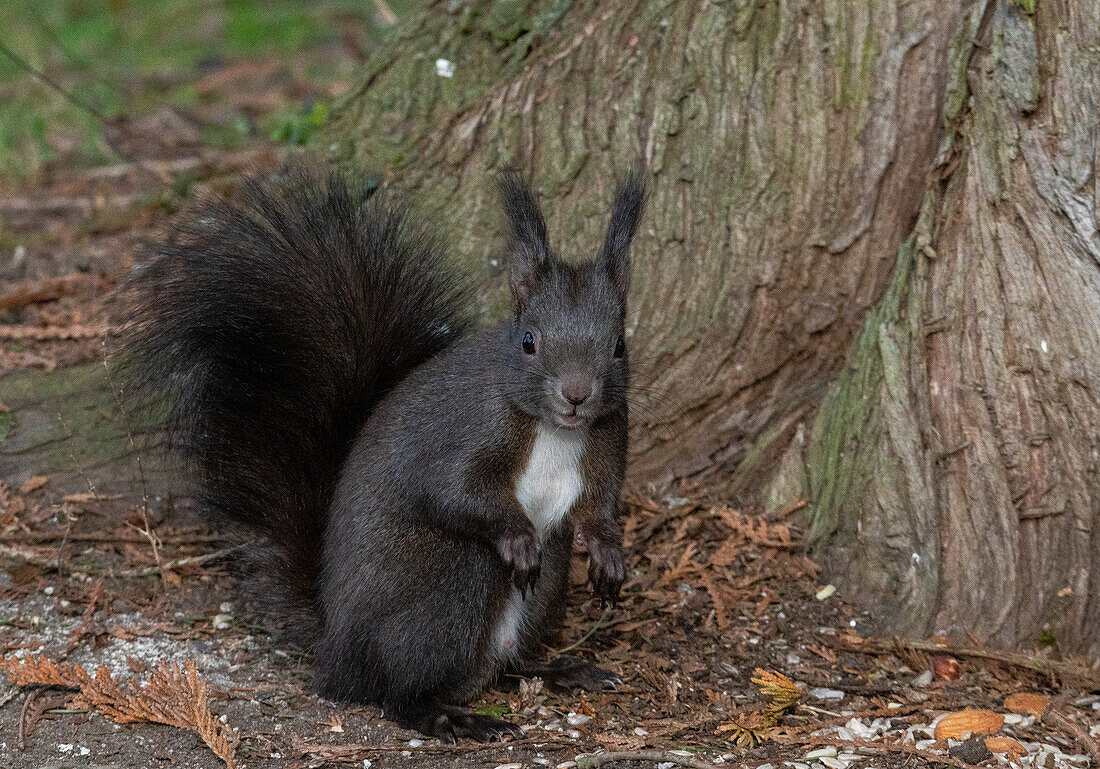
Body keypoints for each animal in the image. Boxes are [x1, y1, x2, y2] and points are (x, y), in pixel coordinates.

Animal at [118, 165, 651, 743]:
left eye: (619, 345)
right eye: (529, 340)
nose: (577, 394)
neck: (556, 431)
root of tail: (335, 647)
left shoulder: (608, 439)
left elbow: (599, 506)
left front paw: (608, 553)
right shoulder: (467, 432)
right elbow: (455, 492)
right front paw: (516, 535)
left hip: (545, 588)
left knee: (508, 662)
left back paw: (562, 669)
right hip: (448, 582)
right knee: (394, 691)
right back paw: (446, 714)